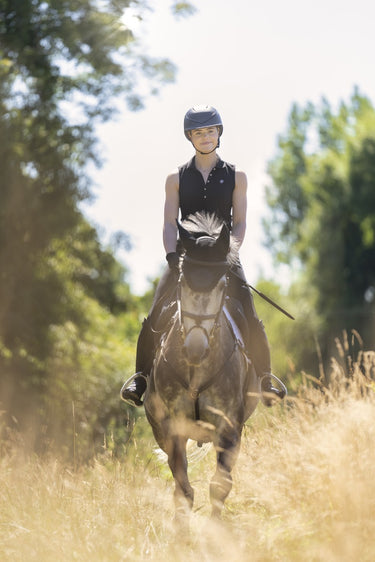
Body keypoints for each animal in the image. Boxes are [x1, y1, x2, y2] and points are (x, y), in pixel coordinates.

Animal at [144, 211, 262, 524]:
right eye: (182, 284)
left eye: (222, 285)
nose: (195, 349)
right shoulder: (173, 428)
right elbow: (183, 490)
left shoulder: (229, 428)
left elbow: (220, 485)